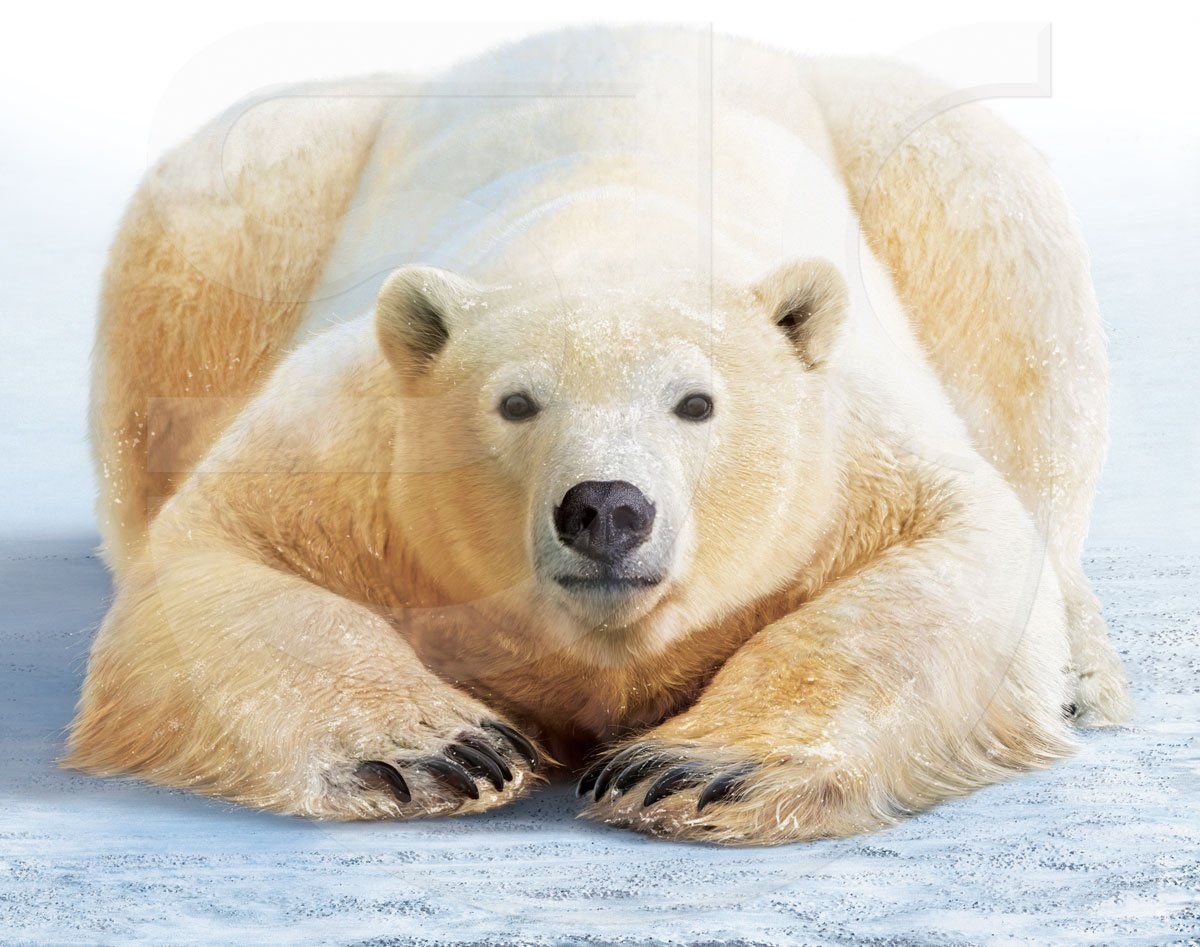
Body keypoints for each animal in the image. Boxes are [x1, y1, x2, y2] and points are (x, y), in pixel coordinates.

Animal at [68, 27, 1131, 845]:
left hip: (936, 178)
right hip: (259, 201)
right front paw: (446, 749)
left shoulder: (850, 453)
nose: (607, 508)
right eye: (515, 403)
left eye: (696, 403)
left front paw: (693, 767)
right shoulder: (358, 455)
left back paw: (1083, 675)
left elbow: (956, 552)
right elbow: (207, 559)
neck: (608, 231)